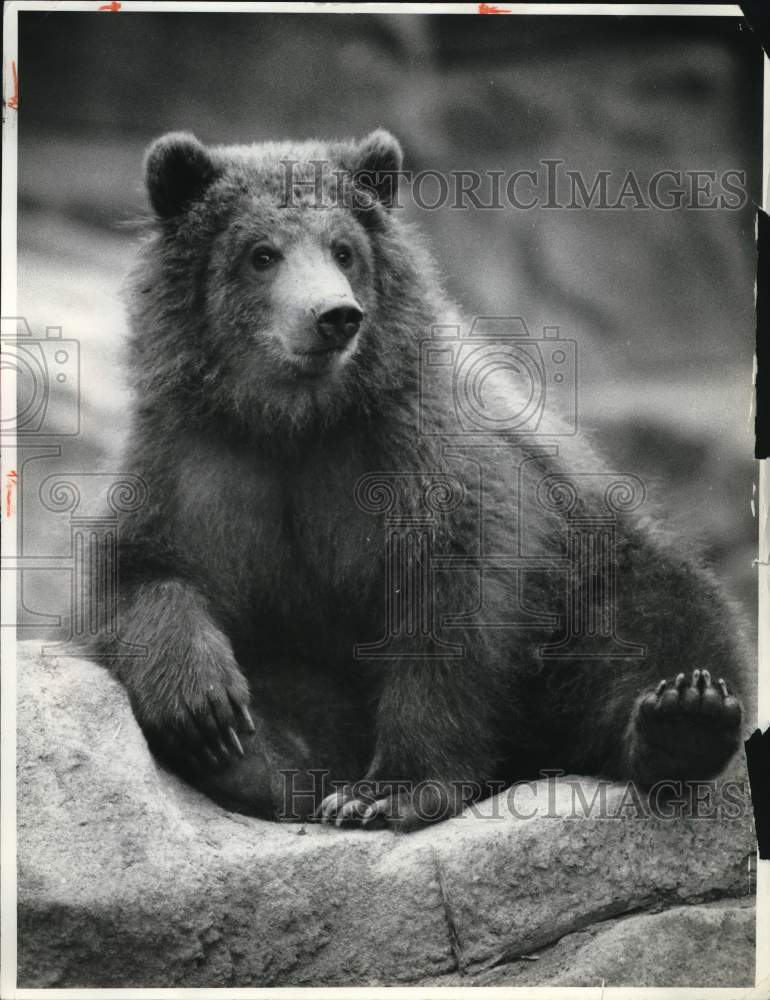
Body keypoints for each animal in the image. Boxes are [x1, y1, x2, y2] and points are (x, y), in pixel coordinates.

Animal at [94, 129, 744, 832]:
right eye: (260, 253)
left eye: (344, 249)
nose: (334, 316)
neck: (295, 419)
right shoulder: (194, 461)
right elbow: (138, 571)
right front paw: (206, 709)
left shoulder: (420, 457)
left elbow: (447, 610)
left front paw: (386, 793)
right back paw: (262, 765)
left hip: (592, 568)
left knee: (657, 621)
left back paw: (684, 715)